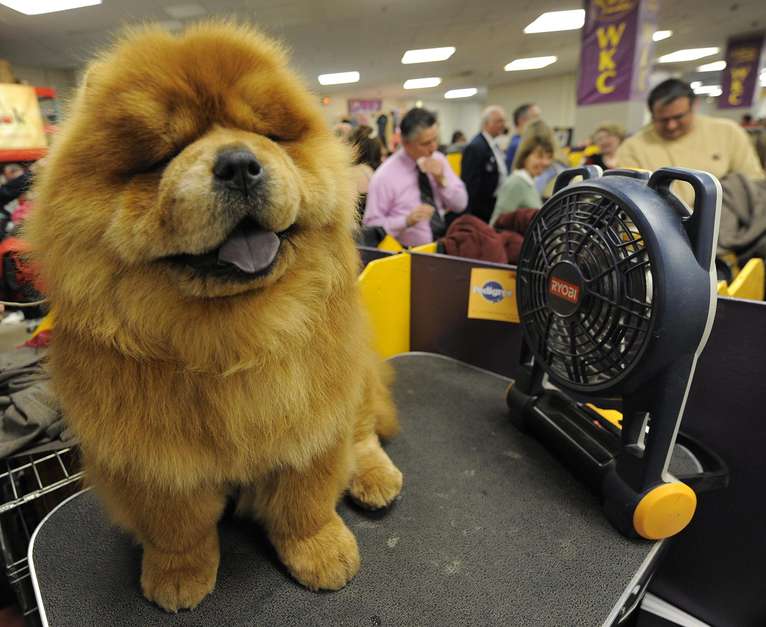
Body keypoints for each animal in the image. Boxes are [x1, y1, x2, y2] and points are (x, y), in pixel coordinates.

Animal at [26, 20, 404, 612]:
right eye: (166, 153)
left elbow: (305, 501)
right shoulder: (155, 459)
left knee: (364, 432)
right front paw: (178, 578)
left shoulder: (314, 414)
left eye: (266, 134)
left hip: (357, 379)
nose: (238, 163)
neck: (234, 336)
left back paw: (375, 478)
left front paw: (323, 553)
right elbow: (178, 527)